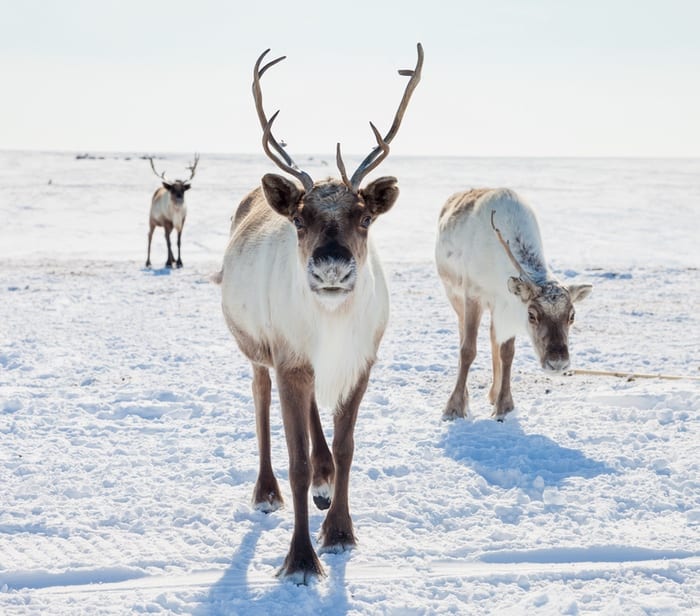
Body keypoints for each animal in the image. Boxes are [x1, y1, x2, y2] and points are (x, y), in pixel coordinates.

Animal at [216, 44, 423, 583]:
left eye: (365, 217)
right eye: (299, 219)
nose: (332, 265)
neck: (330, 324)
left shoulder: (360, 362)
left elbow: (347, 449)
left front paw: (340, 531)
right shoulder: (289, 360)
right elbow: (297, 462)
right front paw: (301, 559)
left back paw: (325, 485)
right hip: (259, 351)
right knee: (261, 399)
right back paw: (267, 491)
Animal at [435, 188, 592, 421]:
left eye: (571, 316)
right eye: (532, 315)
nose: (558, 363)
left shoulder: (508, 306)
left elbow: (507, 352)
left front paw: (504, 405)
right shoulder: (473, 295)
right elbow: (468, 350)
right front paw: (453, 408)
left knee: (493, 336)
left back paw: (493, 393)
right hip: (453, 295)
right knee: (462, 334)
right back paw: (465, 397)